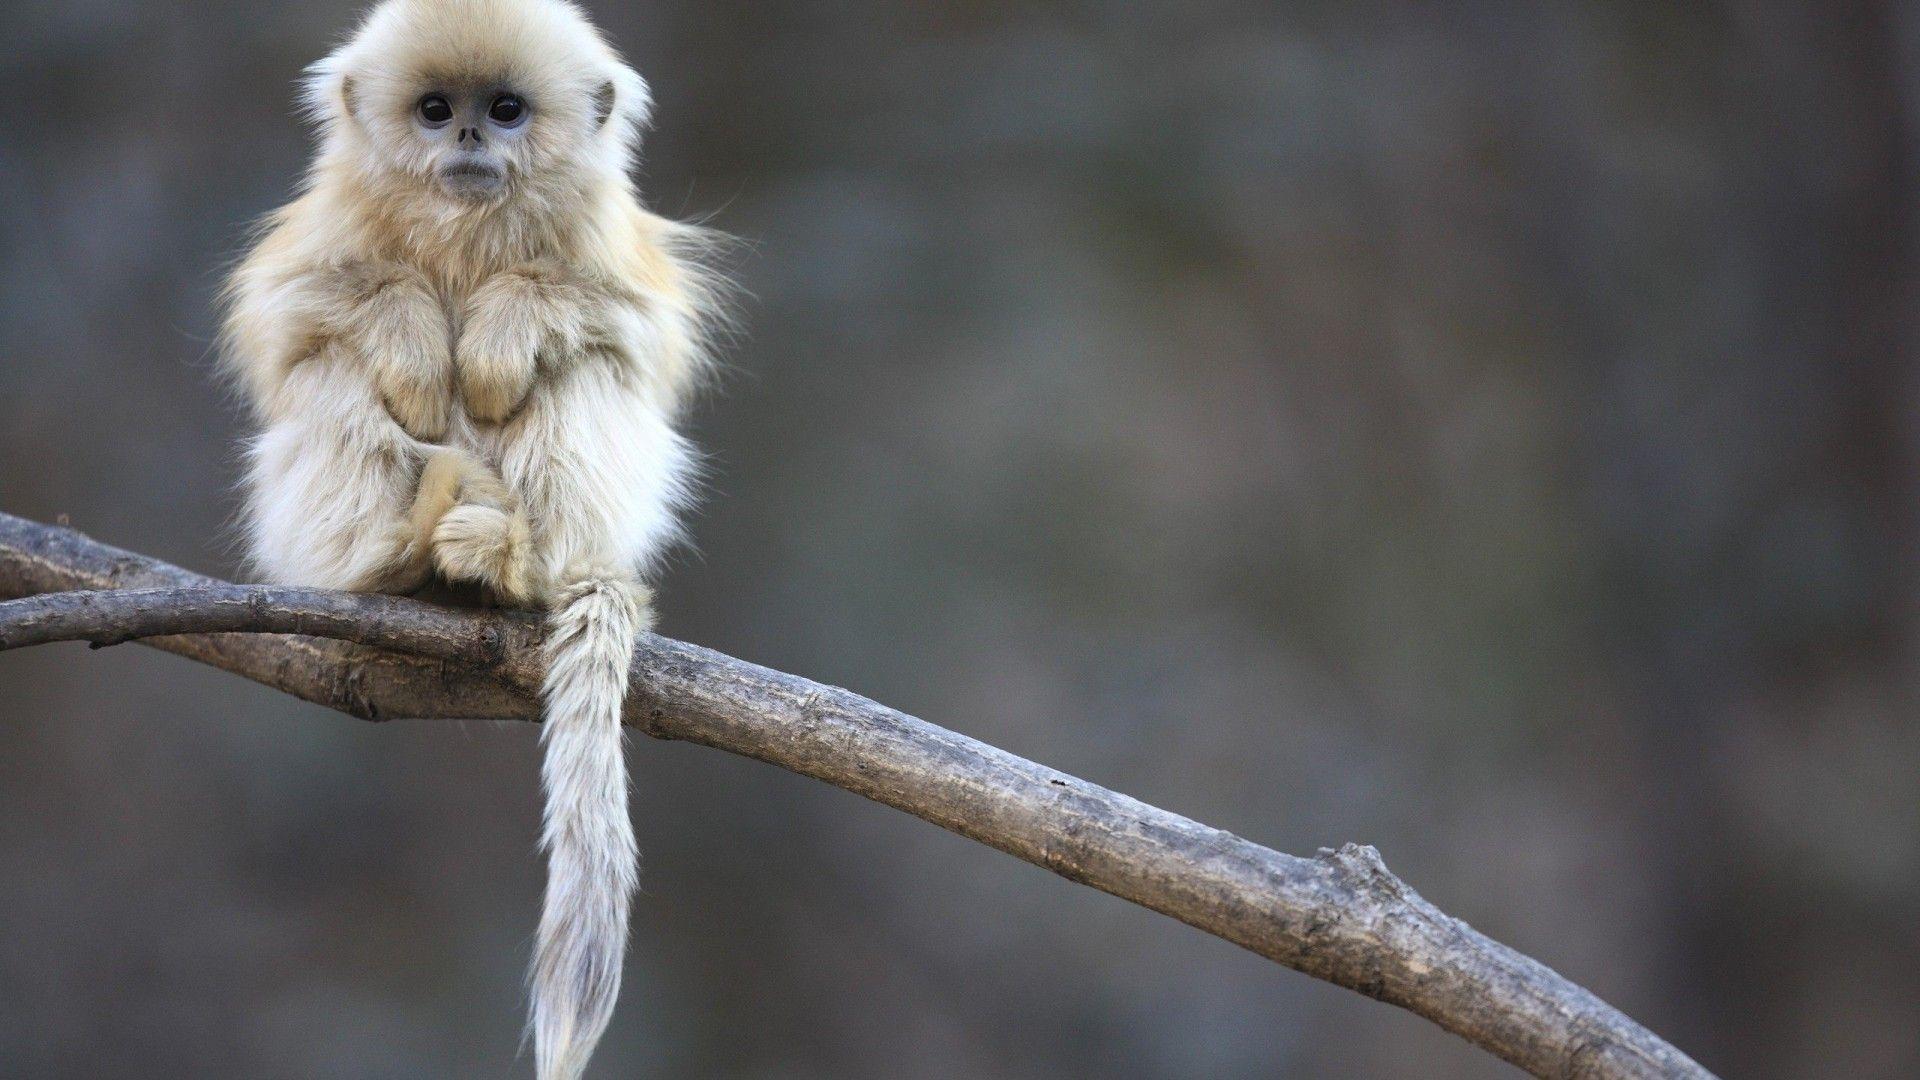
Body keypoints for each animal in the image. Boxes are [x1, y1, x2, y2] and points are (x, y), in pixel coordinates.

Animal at [220, 2, 724, 1076]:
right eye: (434, 109)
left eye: (505, 110)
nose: (466, 141)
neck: (466, 228)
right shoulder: (322, 235)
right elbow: (296, 319)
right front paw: (414, 342)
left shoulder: (609, 249)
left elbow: (627, 329)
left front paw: (498, 334)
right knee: (332, 373)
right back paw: (397, 558)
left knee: (586, 370)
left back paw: (511, 563)